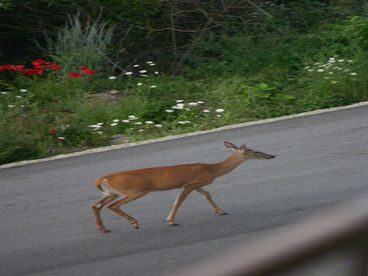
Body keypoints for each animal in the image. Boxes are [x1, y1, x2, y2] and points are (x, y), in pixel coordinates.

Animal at [92, 140, 276, 233]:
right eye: (255, 151)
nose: (272, 156)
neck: (212, 170)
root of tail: (102, 179)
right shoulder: (190, 184)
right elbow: (179, 201)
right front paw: (171, 221)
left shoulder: (197, 184)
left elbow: (207, 194)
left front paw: (220, 211)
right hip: (135, 190)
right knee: (112, 205)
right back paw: (134, 223)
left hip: (111, 192)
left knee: (96, 205)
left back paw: (103, 228)